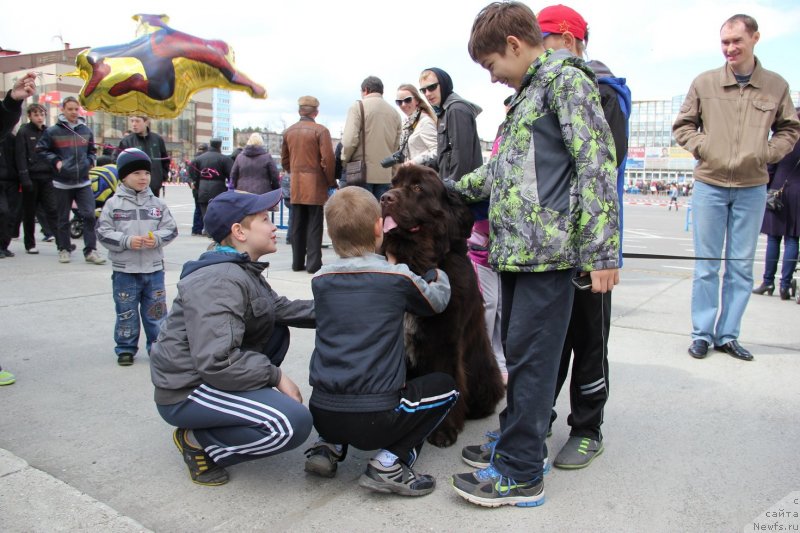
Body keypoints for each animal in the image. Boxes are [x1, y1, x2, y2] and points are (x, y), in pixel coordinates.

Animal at [382, 164, 506, 446]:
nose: (384, 198)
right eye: (393, 184)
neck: (416, 263)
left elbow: (448, 381)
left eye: (418, 187)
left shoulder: (444, 341)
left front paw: (443, 431)